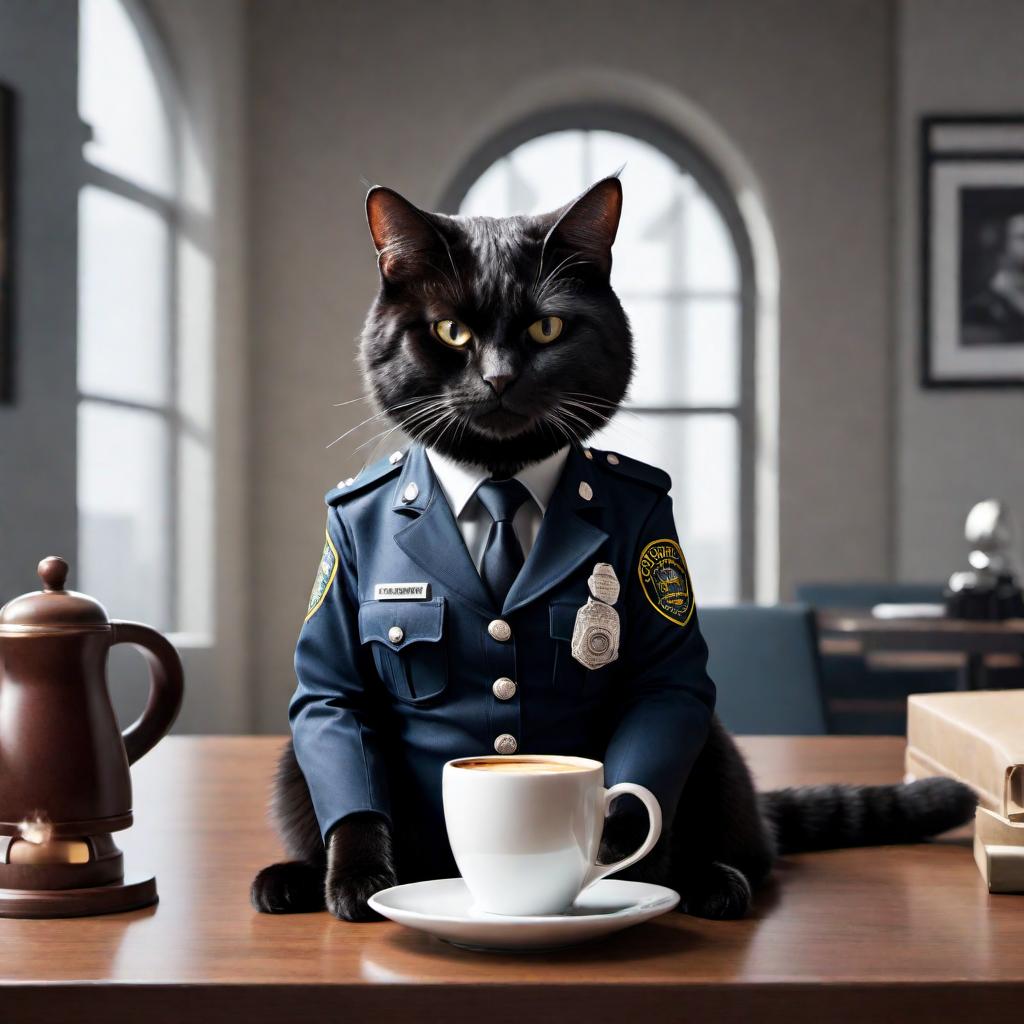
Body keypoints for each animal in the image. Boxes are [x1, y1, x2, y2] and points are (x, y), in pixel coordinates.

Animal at [249, 180, 974, 925]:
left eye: (546, 329)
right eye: (452, 332)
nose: (499, 377)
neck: (500, 475)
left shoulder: (663, 598)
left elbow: (638, 775)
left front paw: (624, 870)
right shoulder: (335, 632)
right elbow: (339, 716)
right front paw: (359, 879)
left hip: (710, 739)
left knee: (752, 842)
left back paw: (711, 879)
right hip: (290, 761)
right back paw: (292, 878)